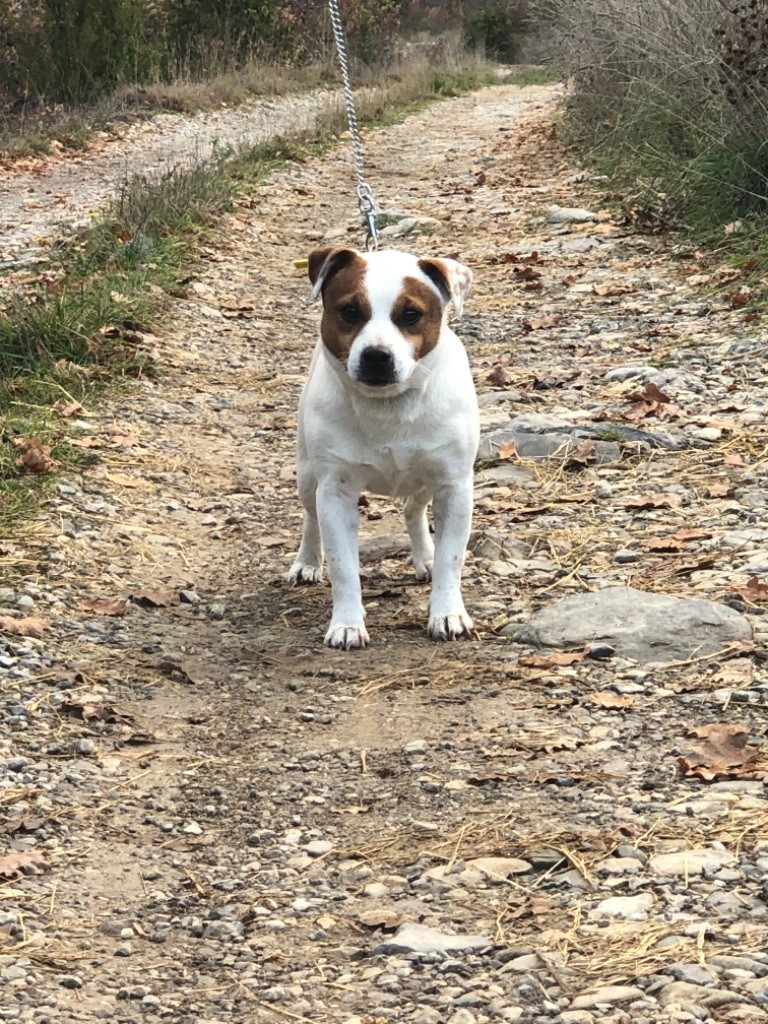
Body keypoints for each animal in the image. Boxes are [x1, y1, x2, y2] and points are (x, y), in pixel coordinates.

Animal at [290, 245, 481, 647]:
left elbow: (451, 559)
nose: (376, 355)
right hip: (308, 475)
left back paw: (425, 557)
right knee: (311, 517)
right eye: (349, 311)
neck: (389, 407)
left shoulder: (454, 487)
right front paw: (347, 624)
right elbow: (343, 567)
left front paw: (447, 613)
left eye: (411, 315)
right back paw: (308, 562)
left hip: (426, 479)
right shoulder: (335, 492)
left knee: (413, 509)